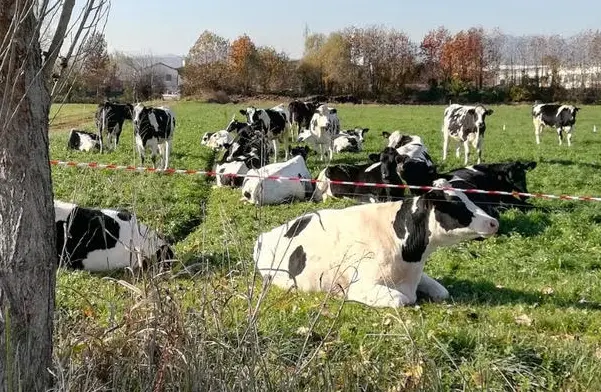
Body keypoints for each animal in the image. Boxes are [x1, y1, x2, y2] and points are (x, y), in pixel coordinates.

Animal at [253, 178, 496, 310]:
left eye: (468, 197)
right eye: (456, 204)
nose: (494, 222)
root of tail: (264, 235)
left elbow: (442, 291)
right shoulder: (360, 286)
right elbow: (400, 300)